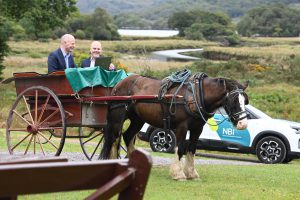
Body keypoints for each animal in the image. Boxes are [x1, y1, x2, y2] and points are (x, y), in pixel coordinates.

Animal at [100, 72, 248, 180]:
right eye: (233, 100)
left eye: (245, 100)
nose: (243, 124)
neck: (195, 94)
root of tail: (119, 83)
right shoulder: (182, 127)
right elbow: (181, 148)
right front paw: (178, 174)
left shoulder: (197, 129)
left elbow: (192, 149)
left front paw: (192, 173)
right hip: (117, 117)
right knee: (114, 139)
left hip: (138, 119)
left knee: (127, 136)